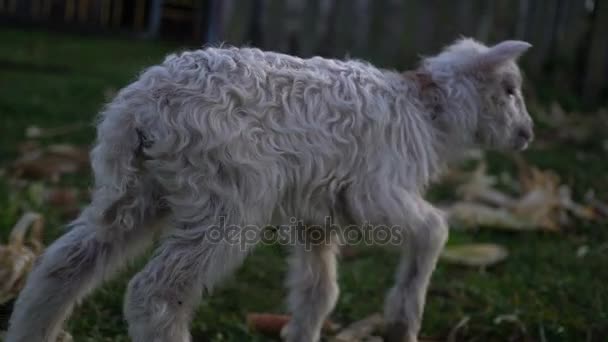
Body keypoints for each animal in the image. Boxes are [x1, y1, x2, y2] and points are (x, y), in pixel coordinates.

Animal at [8, 37, 532, 342]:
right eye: (509, 89)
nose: (527, 135)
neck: (427, 110)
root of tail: (140, 108)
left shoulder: (318, 213)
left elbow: (320, 289)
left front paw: (303, 334)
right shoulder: (377, 192)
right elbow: (434, 229)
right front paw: (404, 321)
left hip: (137, 191)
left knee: (63, 264)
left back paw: (31, 328)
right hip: (226, 196)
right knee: (154, 293)